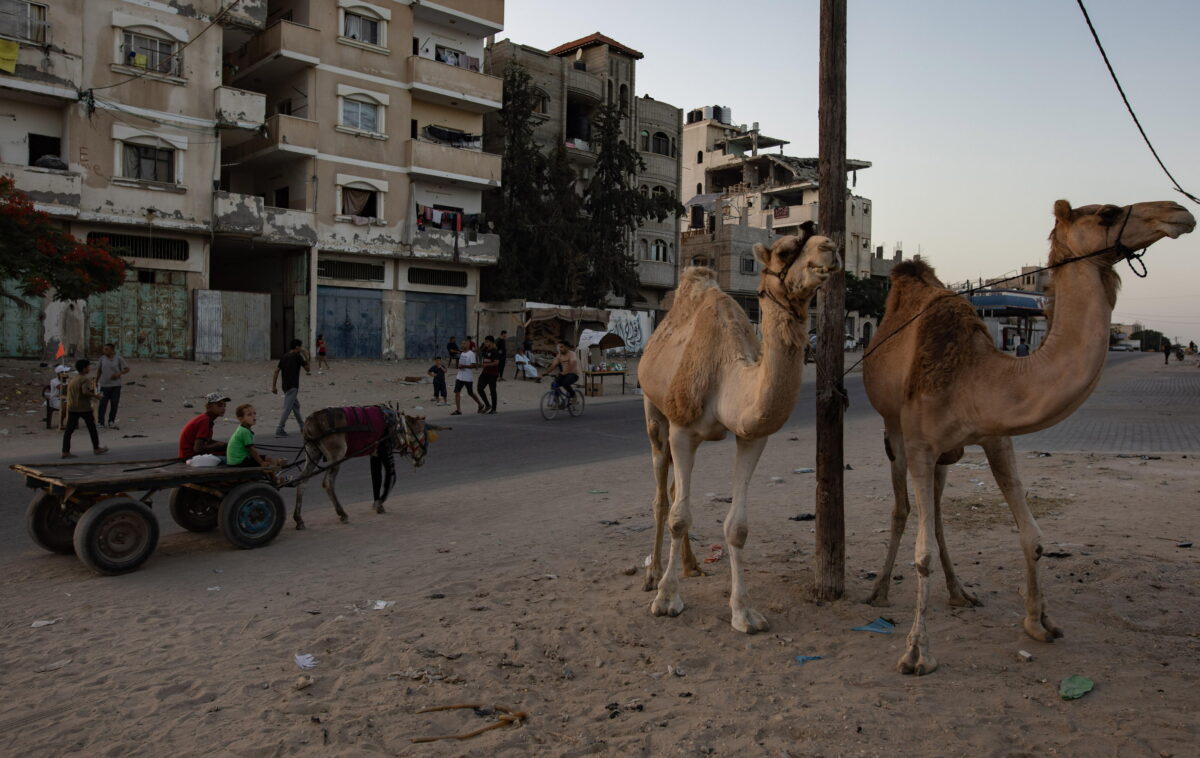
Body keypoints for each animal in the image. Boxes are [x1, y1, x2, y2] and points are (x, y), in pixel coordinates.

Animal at [638, 227, 844, 628]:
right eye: (785, 250)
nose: (829, 247)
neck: (727, 377)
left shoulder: (751, 436)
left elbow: (737, 527)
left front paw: (744, 611)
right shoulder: (682, 429)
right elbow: (678, 517)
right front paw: (667, 599)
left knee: (674, 490)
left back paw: (692, 565)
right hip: (655, 411)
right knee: (661, 497)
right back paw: (653, 575)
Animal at [868, 201, 1195, 676]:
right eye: (1108, 212)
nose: (1179, 211)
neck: (973, 375)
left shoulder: (995, 437)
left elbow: (1032, 535)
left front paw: (1039, 623)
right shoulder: (919, 444)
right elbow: (921, 551)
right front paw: (916, 652)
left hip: (945, 454)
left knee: (939, 516)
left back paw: (960, 592)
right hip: (896, 435)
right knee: (902, 510)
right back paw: (878, 591)